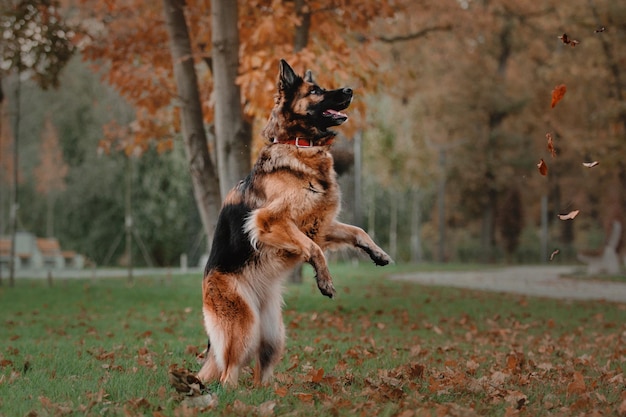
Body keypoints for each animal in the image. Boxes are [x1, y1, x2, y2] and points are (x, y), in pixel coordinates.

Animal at [197, 59, 390, 386]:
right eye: (315, 91)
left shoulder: (320, 224)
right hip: (244, 329)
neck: (299, 145)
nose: (349, 90)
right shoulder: (269, 221)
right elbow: (313, 248)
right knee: (228, 374)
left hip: (273, 335)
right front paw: (324, 280)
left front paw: (378, 252)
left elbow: (357, 231)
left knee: (260, 372)